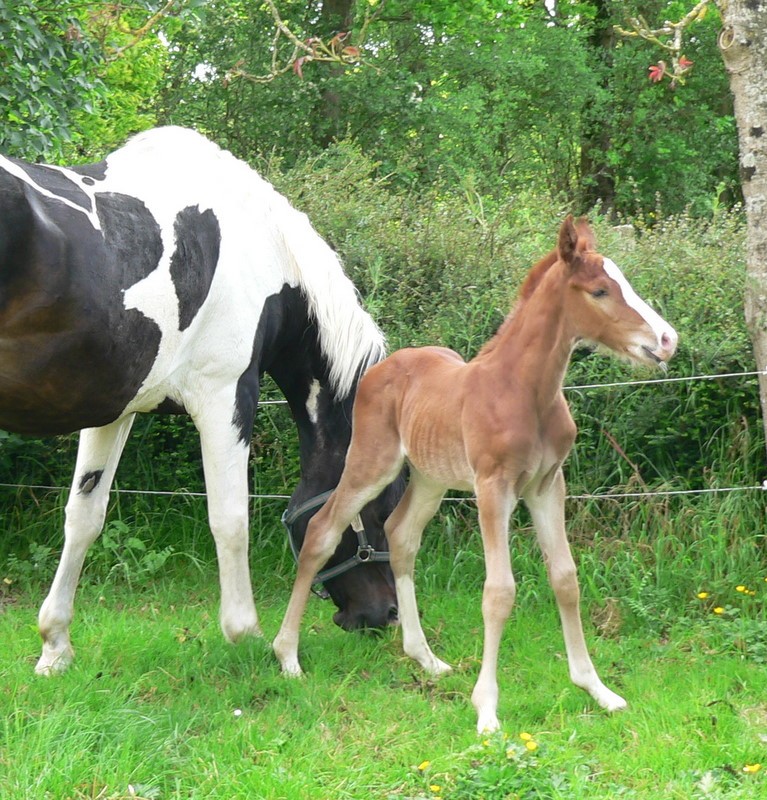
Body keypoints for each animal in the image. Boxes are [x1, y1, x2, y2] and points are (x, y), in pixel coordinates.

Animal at [1, 126, 402, 676]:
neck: (260, 251)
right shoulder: (226, 397)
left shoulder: (114, 411)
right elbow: (230, 519)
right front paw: (248, 636)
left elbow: (83, 517)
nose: (385, 614)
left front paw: (55, 646)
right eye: (381, 504)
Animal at [274, 214, 680, 732]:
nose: (667, 340)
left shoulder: (548, 486)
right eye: (600, 290)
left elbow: (566, 579)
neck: (525, 390)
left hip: (430, 478)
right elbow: (499, 591)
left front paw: (597, 689)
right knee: (323, 530)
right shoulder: (493, 488)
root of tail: (382, 367)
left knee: (401, 535)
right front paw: (487, 710)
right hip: (372, 463)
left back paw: (425, 658)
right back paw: (287, 656)